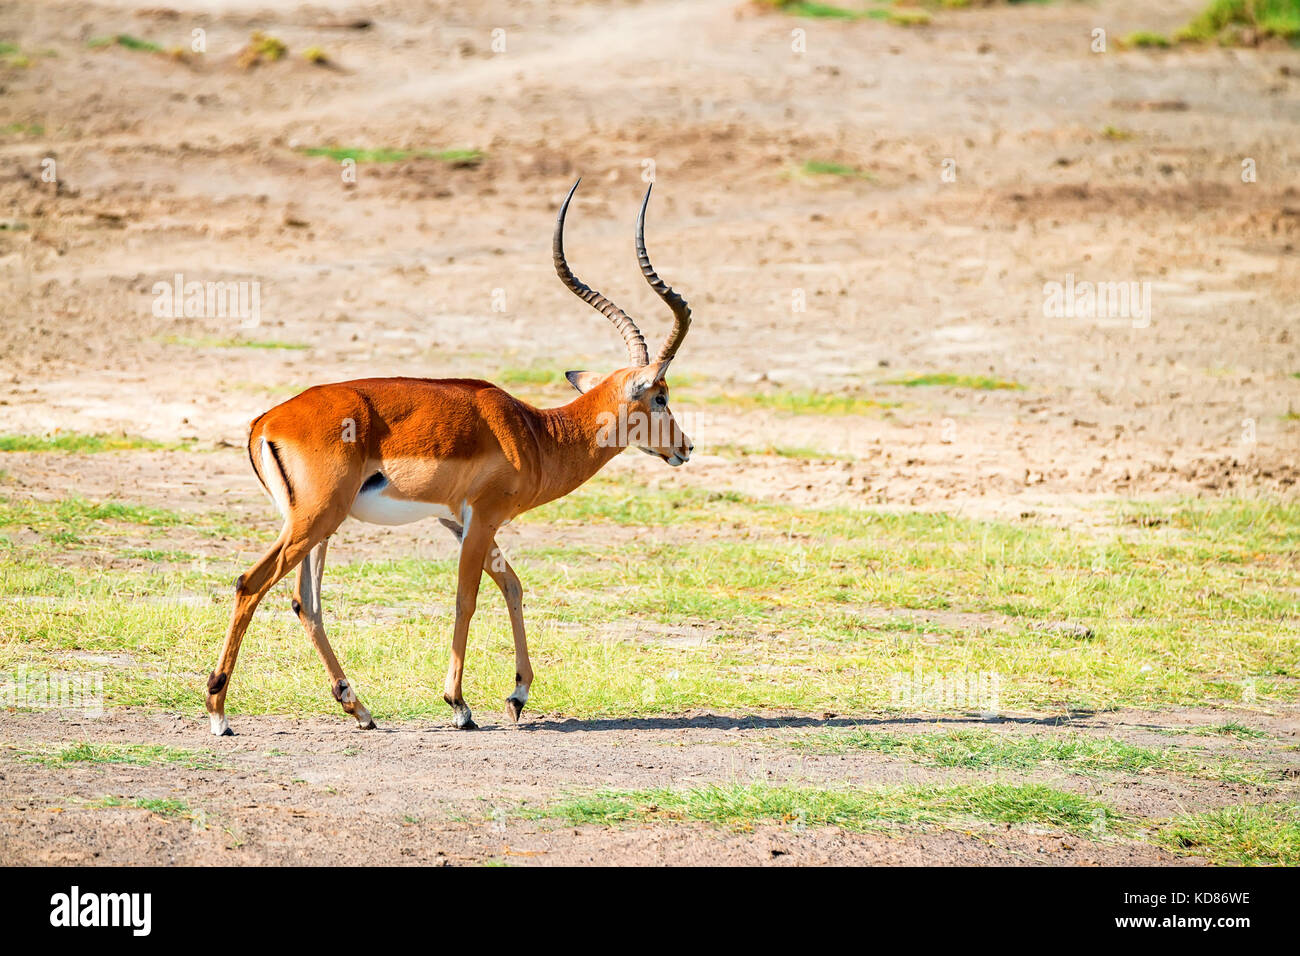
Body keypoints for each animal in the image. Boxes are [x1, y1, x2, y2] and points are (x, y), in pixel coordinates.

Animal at [205, 180, 694, 736]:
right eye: (660, 395)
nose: (685, 447)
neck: (532, 432)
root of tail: (266, 421)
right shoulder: (482, 516)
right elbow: (468, 598)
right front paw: (460, 705)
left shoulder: (457, 520)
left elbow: (513, 585)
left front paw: (518, 695)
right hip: (315, 520)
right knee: (250, 584)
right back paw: (219, 713)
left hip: (316, 528)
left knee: (305, 602)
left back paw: (359, 709)